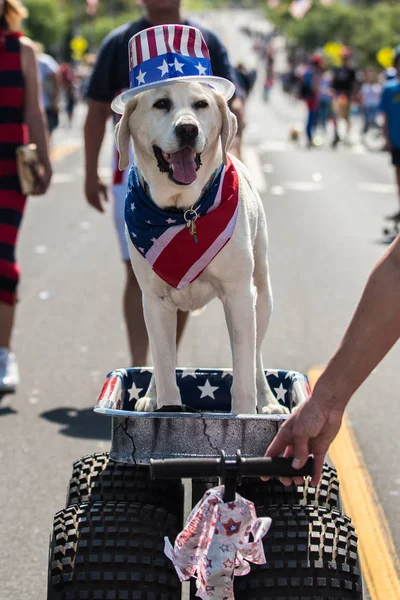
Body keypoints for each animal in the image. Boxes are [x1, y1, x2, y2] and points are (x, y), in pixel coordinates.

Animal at [115, 79, 288, 414]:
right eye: (161, 103)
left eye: (201, 104)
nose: (187, 130)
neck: (184, 212)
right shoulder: (155, 300)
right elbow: (165, 367)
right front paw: (165, 406)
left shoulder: (239, 296)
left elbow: (244, 373)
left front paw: (244, 414)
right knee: (162, 358)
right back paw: (150, 395)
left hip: (262, 296)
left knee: (256, 356)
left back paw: (269, 401)